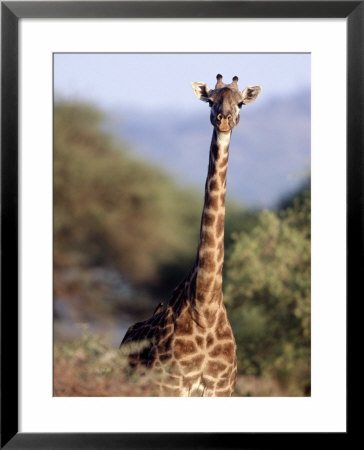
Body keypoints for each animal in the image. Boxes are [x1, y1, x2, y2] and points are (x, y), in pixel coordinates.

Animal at [120, 74, 262, 398]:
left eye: (240, 103)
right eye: (210, 101)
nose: (224, 120)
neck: (205, 308)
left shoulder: (221, 391)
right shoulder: (168, 386)